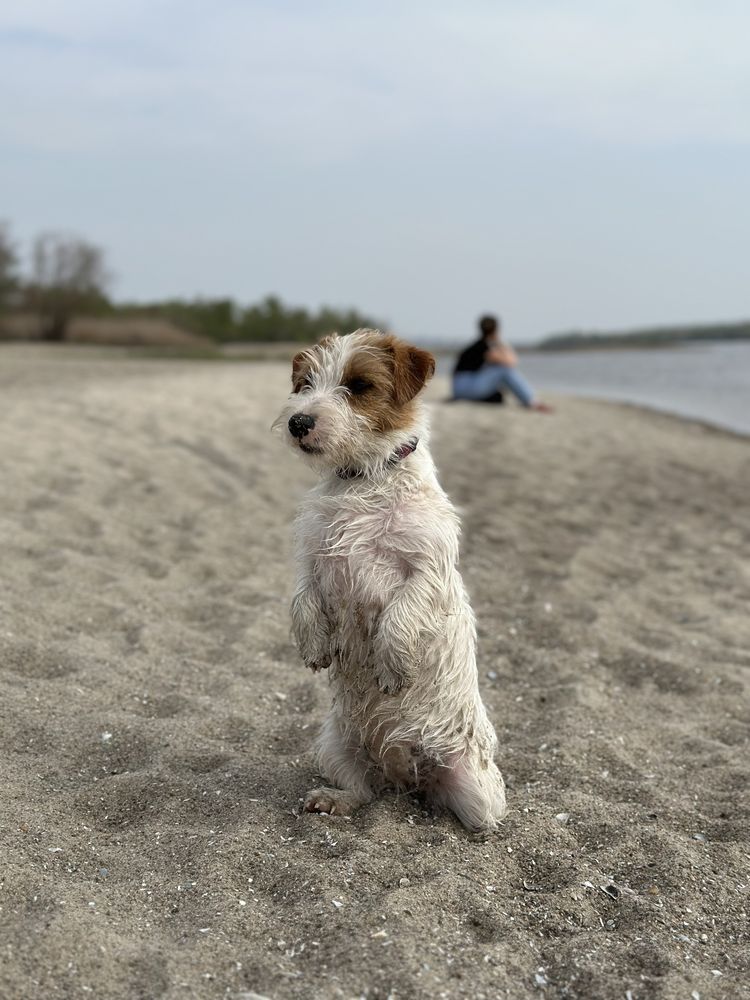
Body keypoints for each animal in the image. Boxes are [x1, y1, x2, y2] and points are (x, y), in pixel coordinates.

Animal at [278, 328, 512, 828]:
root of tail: (404, 775)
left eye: (359, 385)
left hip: (475, 790)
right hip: (335, 745)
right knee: (367, 789)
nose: (299, 422)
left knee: (462, 808)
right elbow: (302, 599)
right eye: (305, 384)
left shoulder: (427, 570)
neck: (363, 479)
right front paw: (314, 646)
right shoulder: (312, 555)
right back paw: (337, 798)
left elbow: (399, 617)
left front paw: (392, 667)